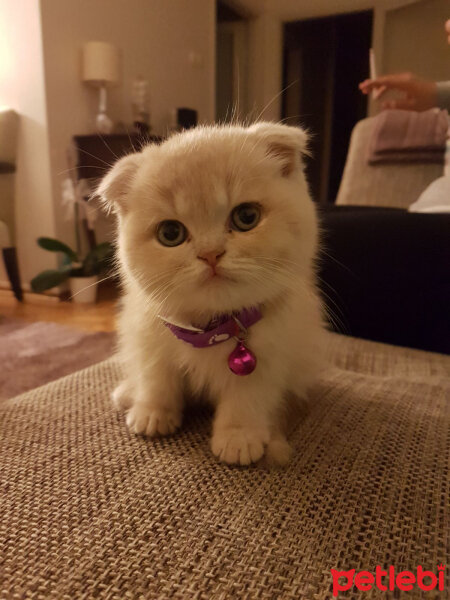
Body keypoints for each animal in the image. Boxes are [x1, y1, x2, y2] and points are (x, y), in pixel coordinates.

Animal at [97, 122, 324, 466]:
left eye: (246, 217)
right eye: (170, 233)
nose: (210, 254)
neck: (210, 328)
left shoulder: (269, 354)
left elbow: (247, 398)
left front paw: (239, 437)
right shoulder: (149, 335)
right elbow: (156, 378)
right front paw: (153, 413)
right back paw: (127, 393)